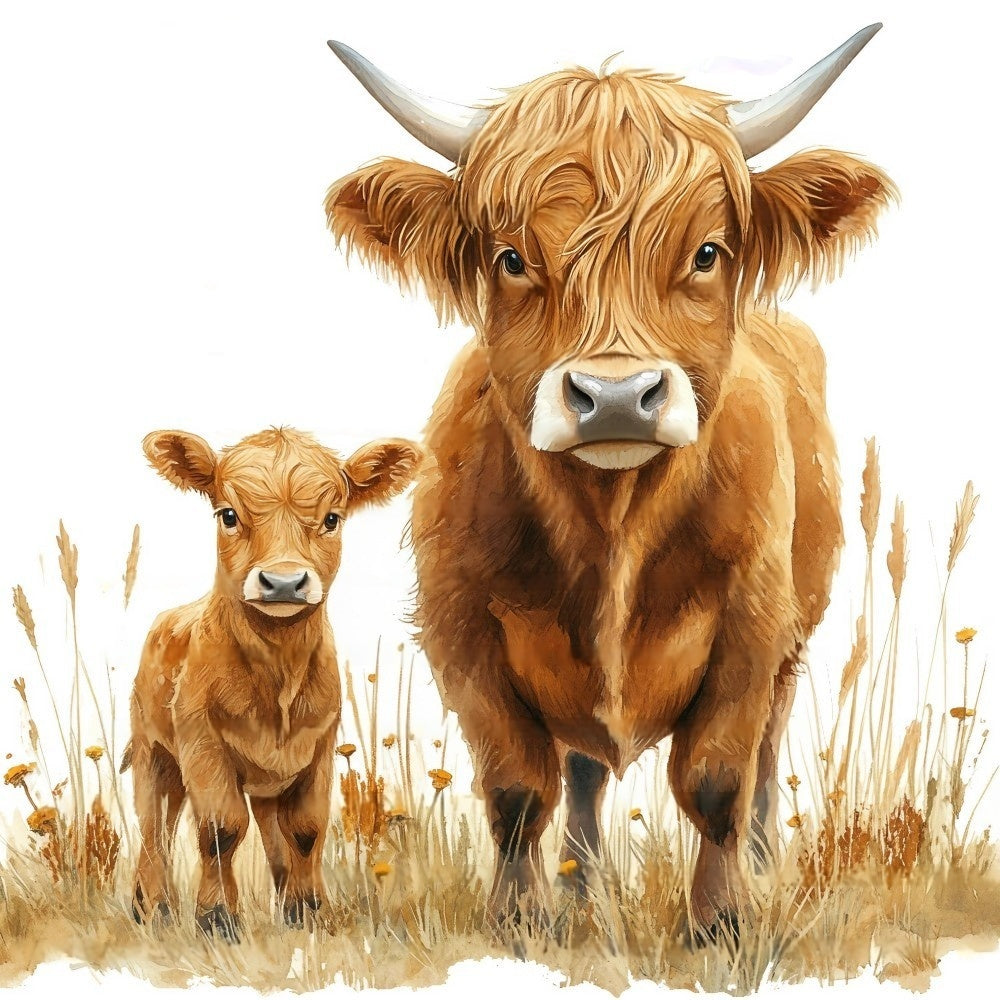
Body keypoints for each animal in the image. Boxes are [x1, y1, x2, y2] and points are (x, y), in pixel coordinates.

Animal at [123, 426, 421, 939]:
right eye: (228, 514)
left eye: (332, 518)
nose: (283, 582)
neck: (277, 677)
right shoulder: (202, 745)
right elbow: (220, 829)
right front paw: (217, 919)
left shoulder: (318, 745)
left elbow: (305, 829)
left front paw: (306, 912)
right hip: (154, 752)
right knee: (154, 826)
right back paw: (153, 908)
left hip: (262, 779)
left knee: (268, 830)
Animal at [324, 25, 895, 938]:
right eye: (511, 258)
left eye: (706, 253)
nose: (617, 397)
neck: (613, 525)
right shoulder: (461, 630)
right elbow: (519, 787)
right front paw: (520, 918)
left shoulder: (752, 625)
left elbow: (717, 778)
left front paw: (721, 920)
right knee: (585, 770)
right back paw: (580, 884)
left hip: (795, 641)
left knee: (766, 752)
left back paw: (761, 864)